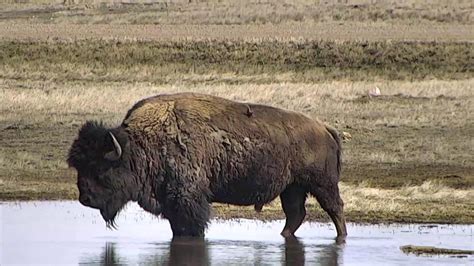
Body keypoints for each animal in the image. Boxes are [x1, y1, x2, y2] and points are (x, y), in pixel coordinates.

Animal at [66, 92, 346, 239]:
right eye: (79, 167)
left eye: (100, 168)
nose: (85, 198)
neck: (141, 145)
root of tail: (324, 128)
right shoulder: (171, 204)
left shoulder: (188, 201)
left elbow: (192, 227)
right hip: (292, 188)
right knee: (296, 214)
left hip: (322, 185)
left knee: (335, 209)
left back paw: (341, 237)